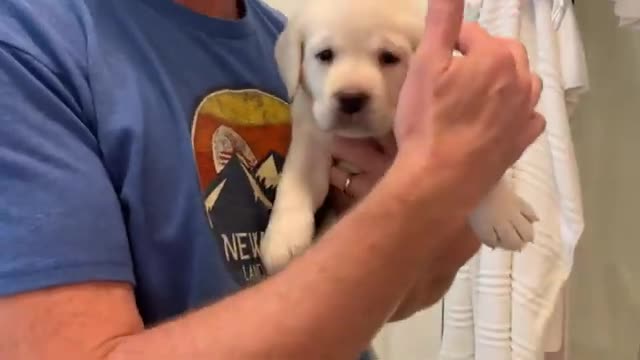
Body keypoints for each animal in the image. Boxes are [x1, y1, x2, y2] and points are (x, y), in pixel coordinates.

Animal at [258, 0, 536, 276]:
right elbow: (297, 180)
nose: (351, 98)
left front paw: (503, 213)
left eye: (389, 57)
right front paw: (283, 238)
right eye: (325, 55)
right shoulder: (311, 132)